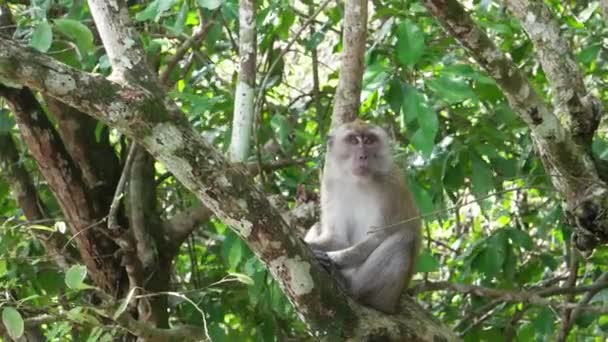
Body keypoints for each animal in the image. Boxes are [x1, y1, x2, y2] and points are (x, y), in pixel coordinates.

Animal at [306, 119, 420, 312]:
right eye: (353, 140)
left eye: (369, 140)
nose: (363, 156)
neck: (359, 182)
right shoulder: (330, 183)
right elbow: (337, 237)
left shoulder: (391, 186)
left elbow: (379, 236)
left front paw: (331, 259)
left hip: (386, 298)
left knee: (405, 238)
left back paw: (349, 286)